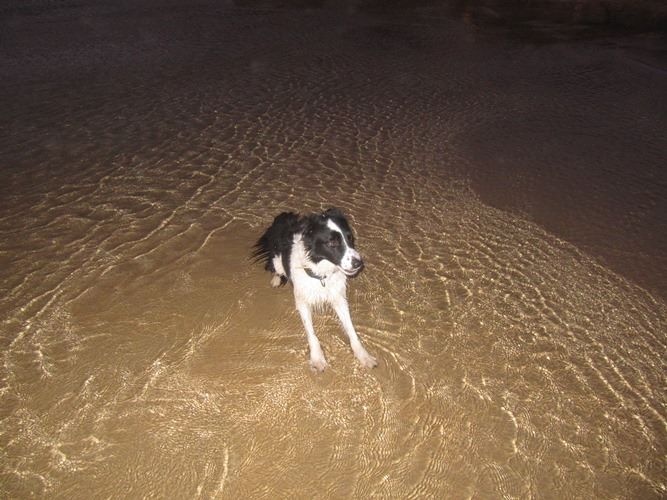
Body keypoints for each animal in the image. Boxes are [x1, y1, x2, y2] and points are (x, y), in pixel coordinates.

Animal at [252, 207, 378, 372]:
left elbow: (351, 329)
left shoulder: (339, 298)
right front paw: (317, 357)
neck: (322, 274)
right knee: (274, 266)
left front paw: (363, 355)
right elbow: (311, 333)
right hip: (277, 260)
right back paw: (276, 279)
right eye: (332, 242)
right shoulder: (302, 302)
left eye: (350, 238)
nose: (359, 263)